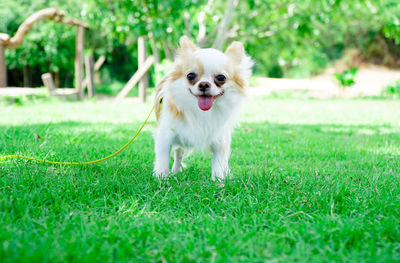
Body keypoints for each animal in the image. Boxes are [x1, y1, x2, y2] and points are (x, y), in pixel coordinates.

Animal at [153, 36, 253, 182]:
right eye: (190, 76)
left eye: (221, 78)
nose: (204, 84)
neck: (201, 112)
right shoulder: (165, 136)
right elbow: (162, 159)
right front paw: (161, 178)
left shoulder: (220, 141)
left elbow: (218, 162)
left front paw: (219, 181)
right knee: (178, 153)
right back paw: (175, 171)